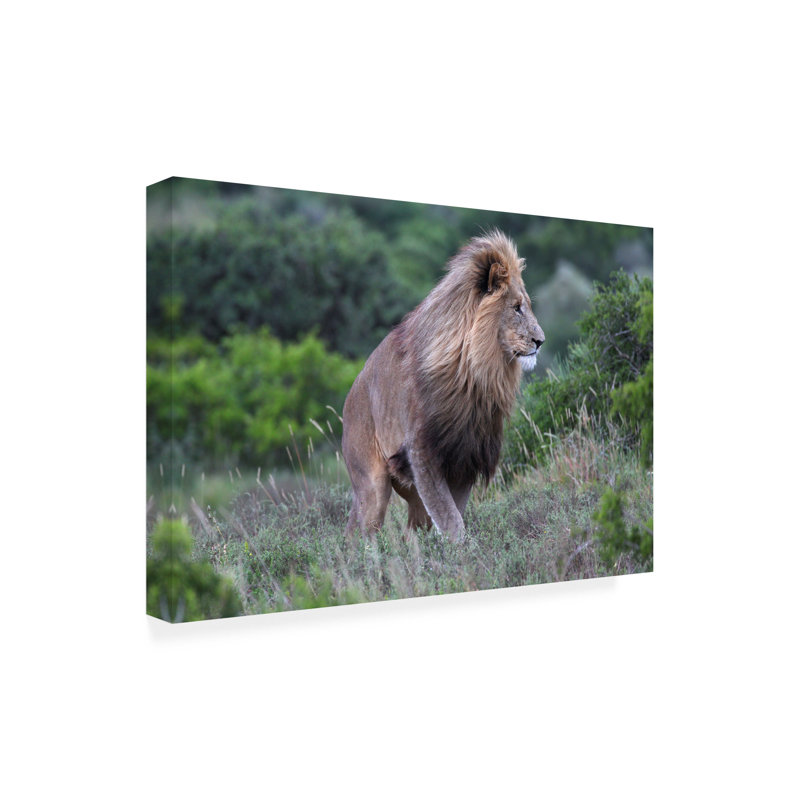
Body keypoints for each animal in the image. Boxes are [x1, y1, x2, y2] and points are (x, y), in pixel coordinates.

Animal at [342, 230, 545, 542]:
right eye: (517, 308)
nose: (540, 341)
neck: (476, 376)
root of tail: (349, 398)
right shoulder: (422, 452)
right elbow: (451, 520)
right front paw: (466, 550)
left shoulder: (466, 456)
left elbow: (452, 513)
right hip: (372, 486)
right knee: (360, 534)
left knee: (411, 530)